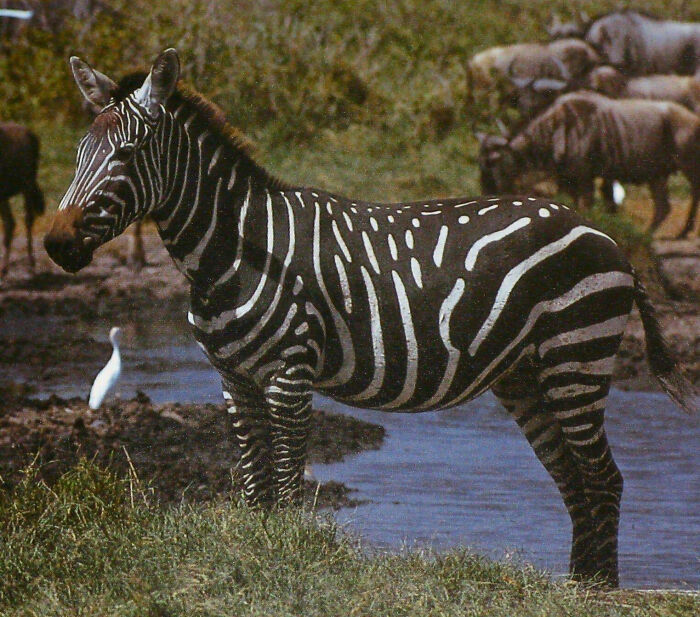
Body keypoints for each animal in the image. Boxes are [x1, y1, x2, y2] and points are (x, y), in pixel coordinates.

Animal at [44, 49, 697, 588]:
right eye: (77, 155)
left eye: (127, 155)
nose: (55, 244)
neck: (235, 251)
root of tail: (606, 236)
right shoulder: (234, 380)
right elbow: (254, 489)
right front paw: (253, 561)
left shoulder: (290, 375)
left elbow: (287, 489)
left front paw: (286, 566)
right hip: (526, 375)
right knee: (573, 479)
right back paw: (578, 584)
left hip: (575, 357)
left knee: (603, 478)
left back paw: (601, 587)